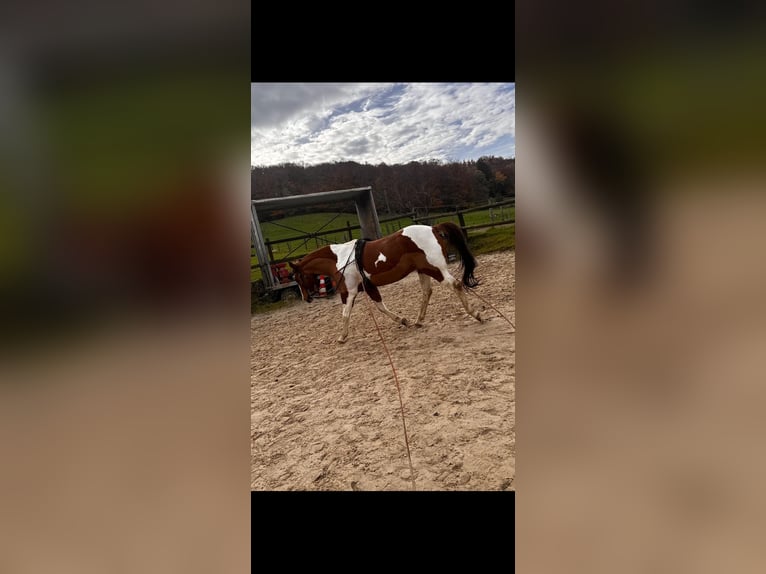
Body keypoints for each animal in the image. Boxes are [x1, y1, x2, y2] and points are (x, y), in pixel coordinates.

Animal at [289, 221, 484, 343]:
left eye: (298, 277)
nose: (306, 298)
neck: (340, 259)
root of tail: (434, 229)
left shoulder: (349, 291)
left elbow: (345, 314)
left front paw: (342, 337)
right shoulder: (369, 287)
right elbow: (380, 307)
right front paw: (403, 320)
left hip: (436, 269)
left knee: (455, 285)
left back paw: (476, 314)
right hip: (424, 270)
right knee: (426, 292)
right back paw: (418, 321)